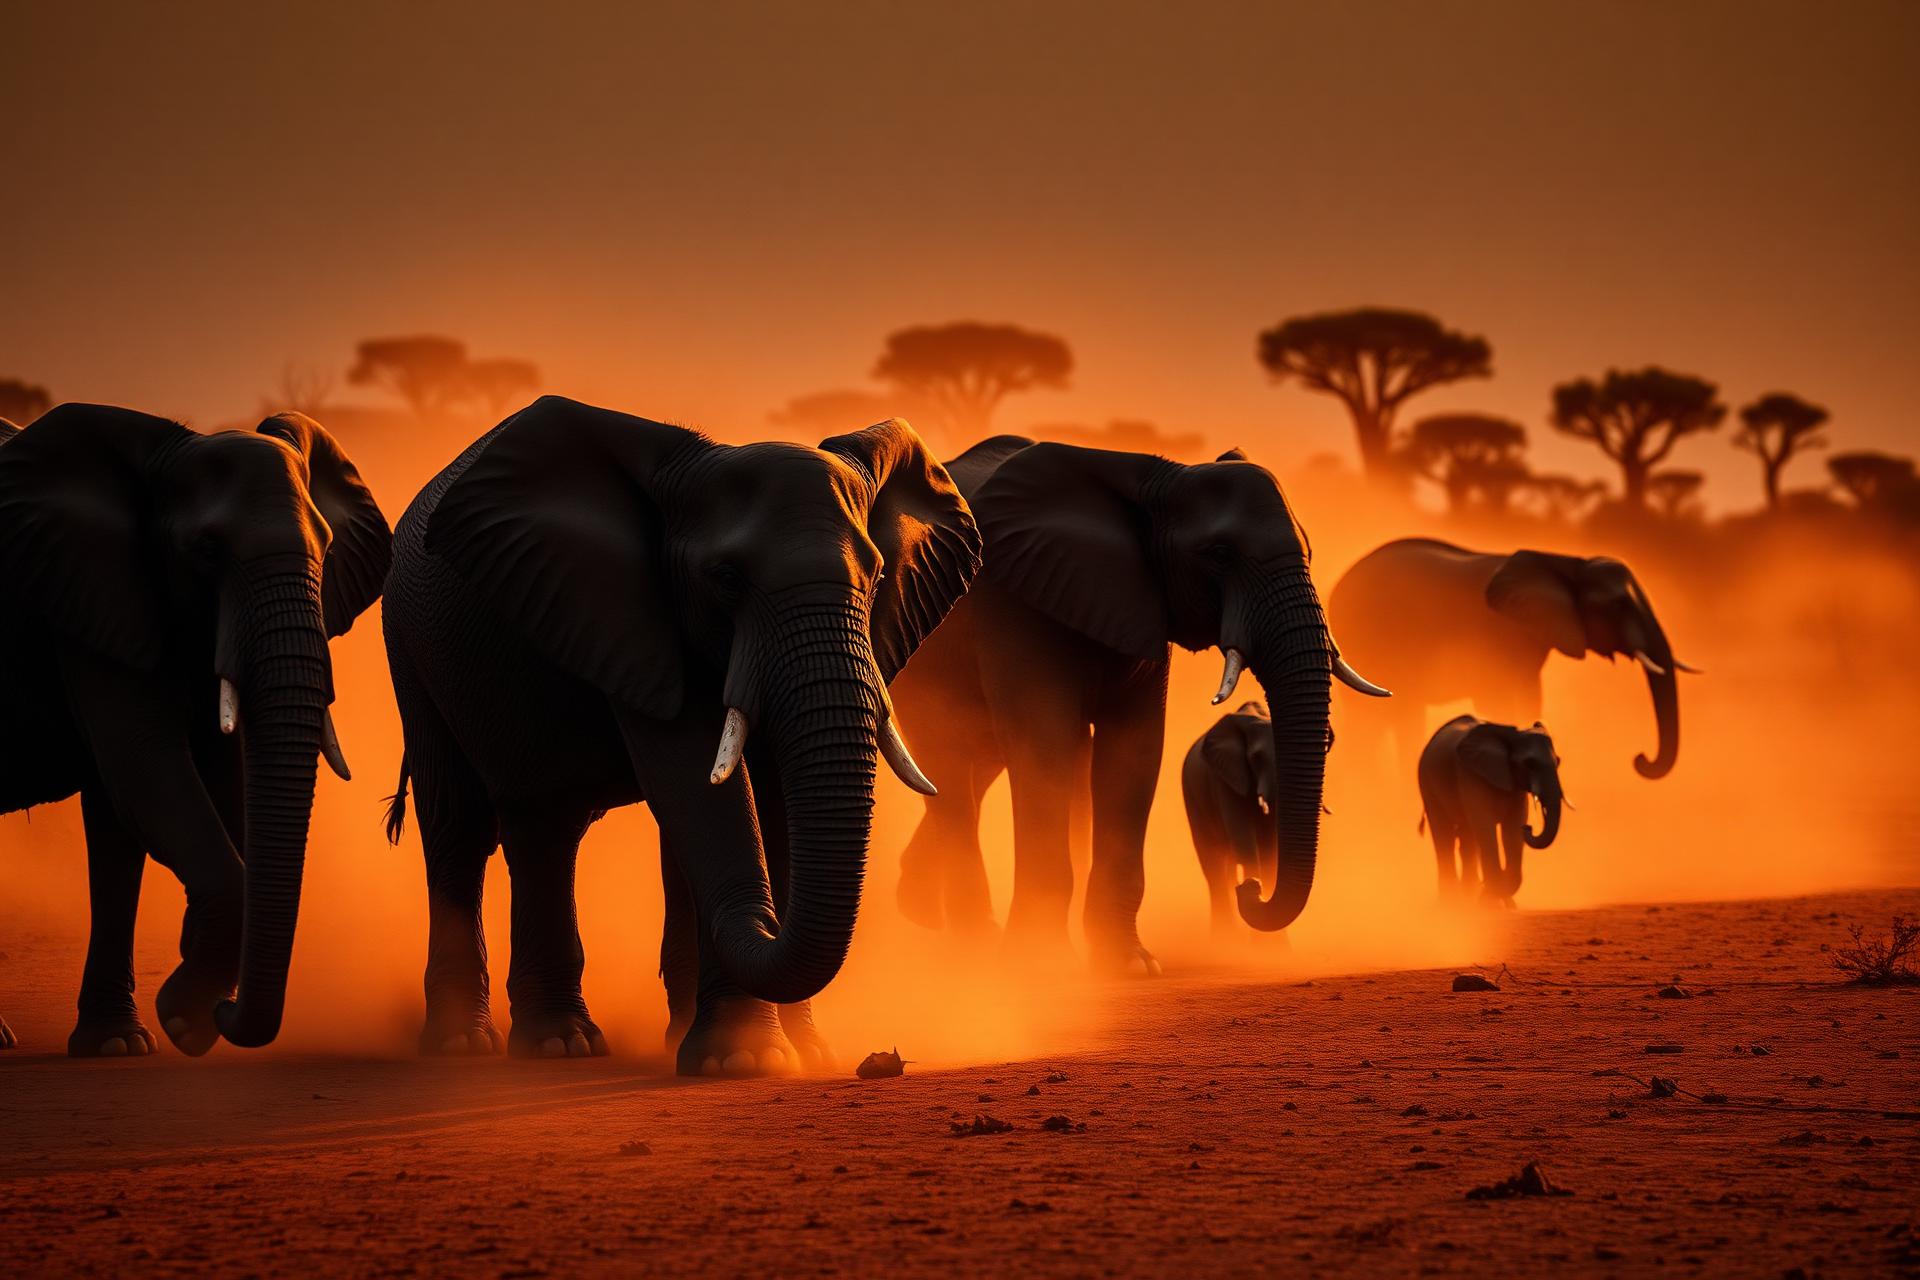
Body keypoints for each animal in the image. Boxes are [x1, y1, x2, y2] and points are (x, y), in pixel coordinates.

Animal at [0, 405, 390, 1056]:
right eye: (206, 551)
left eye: (328, 546)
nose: (227, 1011)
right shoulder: (88, 587)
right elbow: (145, 762)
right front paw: (184, 1019)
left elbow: (185, 787)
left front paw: (125, 1042)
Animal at [380, 397, 979, 1075]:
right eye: (725, 578)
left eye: (877, 575)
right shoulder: (633, 613)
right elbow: (703, 788)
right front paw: (743, 1062)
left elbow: (763, 800)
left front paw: (805, 1055)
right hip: (411, 647)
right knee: (476, 825)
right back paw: (511, 1046)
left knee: (557, 826)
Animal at [1180, 700, 1284, 942]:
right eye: (1256, 758)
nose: (1251, 886)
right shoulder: (1225, 778)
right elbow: (1245, 837)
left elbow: (1270, 850)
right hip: (1192, 797)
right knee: (1214, 867)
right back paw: (1223, 942)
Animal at [1329, 538, 1696, 778]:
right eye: (1619, 604)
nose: (1640, 759)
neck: (1565, 562)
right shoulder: (1494, 635)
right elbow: (1495, 697)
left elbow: (1532, 695)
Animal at [1417, 715, 1565, 905]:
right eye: (1529, 764)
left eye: (1558, 761)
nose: (1529, 828)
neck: (1511, 736)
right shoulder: (1470, 775)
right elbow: (1486, 826)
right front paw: (1489, 898)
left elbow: (1512, 829)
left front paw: (1488, 898)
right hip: (1426, 782)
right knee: (1444, 836)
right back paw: (1451, 901)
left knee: (1467, 838)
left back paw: (1468, 898)